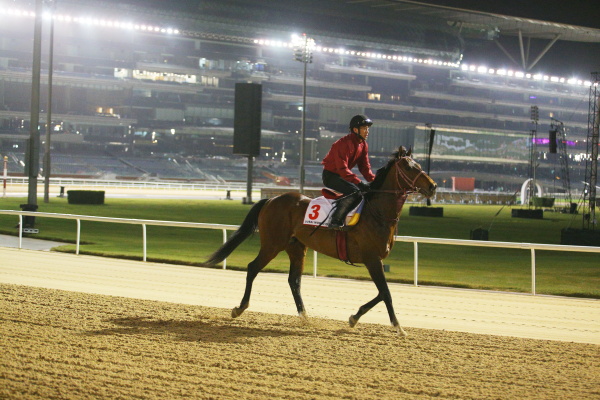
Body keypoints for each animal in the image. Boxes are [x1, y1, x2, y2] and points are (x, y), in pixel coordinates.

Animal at [205, 145, 436, 336]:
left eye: (419, 165)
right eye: (408, 167)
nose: (433, 186)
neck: (377, 212)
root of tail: (271, 199)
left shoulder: (375, 260)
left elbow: (381, 292)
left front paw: (354, 318)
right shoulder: (372, 259)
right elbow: (386, 292)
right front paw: (399, 327)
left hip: (296, 247)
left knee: (294, 281)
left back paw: (305, 317)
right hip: (272, 244)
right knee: (253, 268)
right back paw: (239, 308)